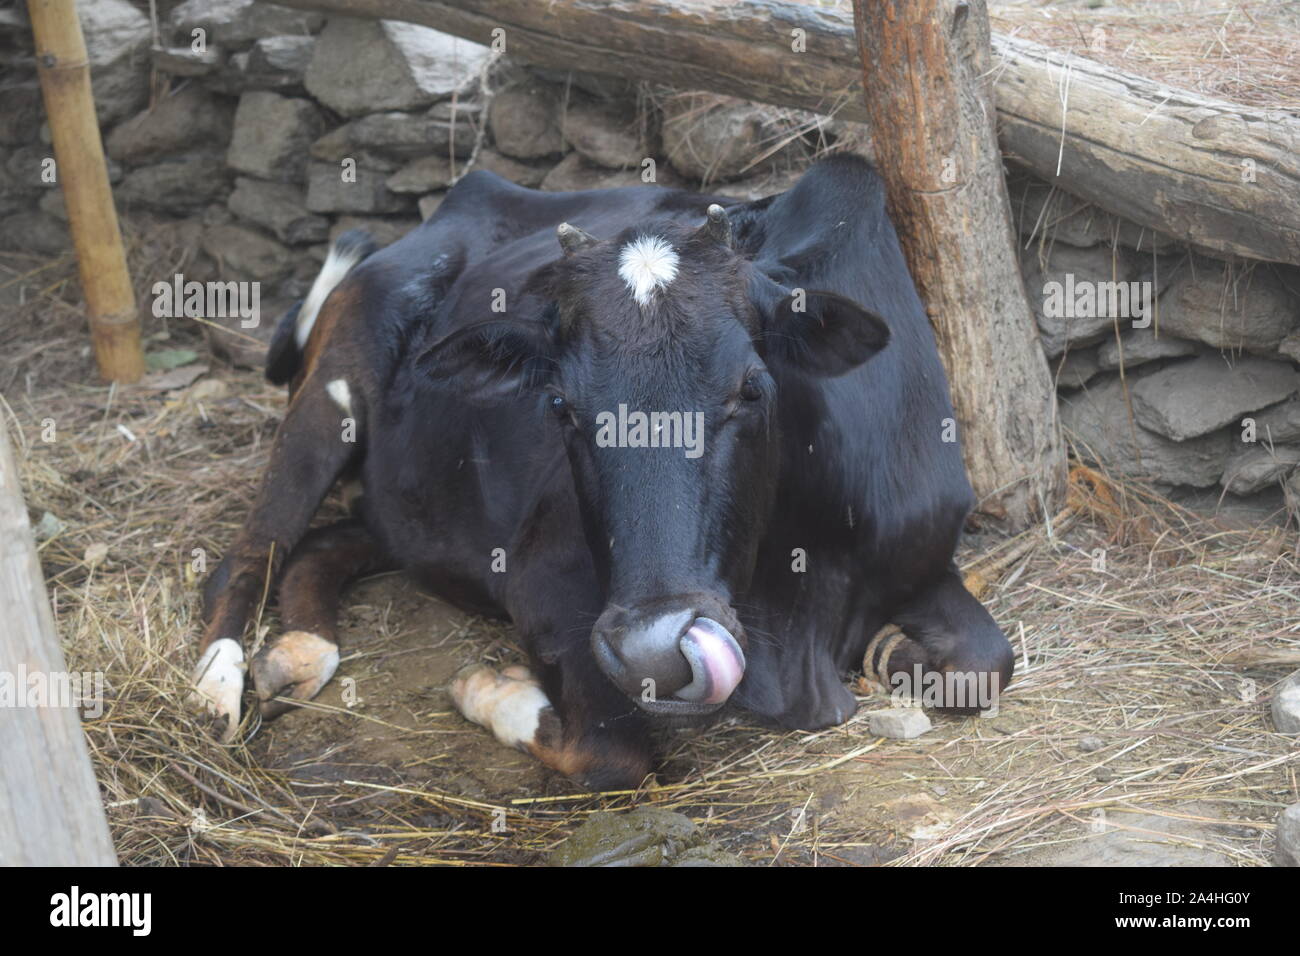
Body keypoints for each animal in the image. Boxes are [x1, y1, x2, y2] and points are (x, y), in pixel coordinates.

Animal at [191, 154, 1014, 790]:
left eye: (752, 386)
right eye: (560, 404)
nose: (654, 648)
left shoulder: (923, 550)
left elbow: (986, 663)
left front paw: (893, 652)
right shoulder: (545, 579)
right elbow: (611, 754)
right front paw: (488, 688)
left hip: (404, 505)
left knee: (330, 542)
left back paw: (298, 654)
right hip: (336, 383)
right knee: (249, 554)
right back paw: (217, 690)